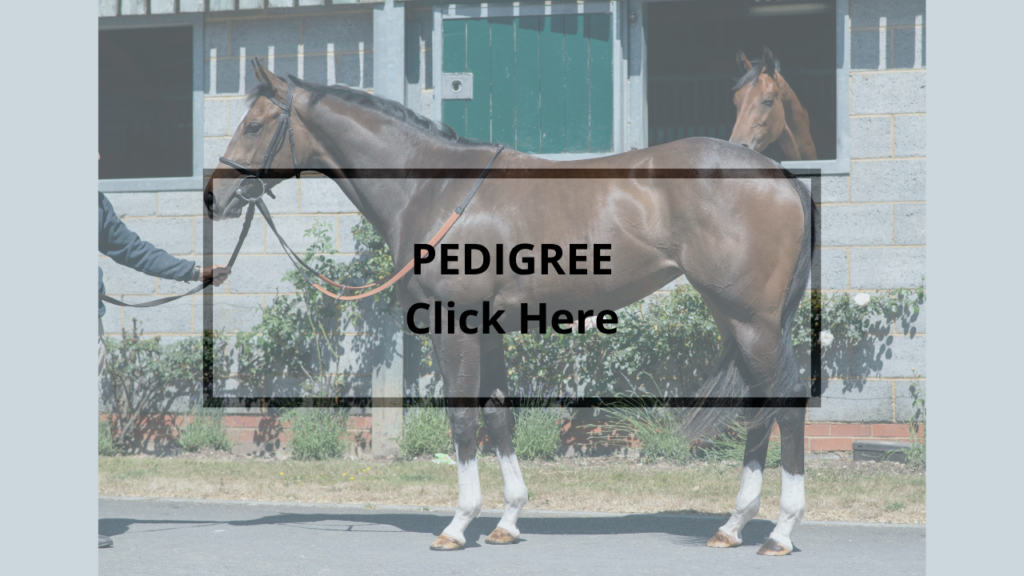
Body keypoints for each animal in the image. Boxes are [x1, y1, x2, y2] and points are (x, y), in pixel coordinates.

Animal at [205, 58, 815, 556]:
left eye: (254, 124)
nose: (216, 196)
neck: (436, 187)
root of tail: (781, 178)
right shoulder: (486, 327)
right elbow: (498, 414)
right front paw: (507, 520)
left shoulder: (453, 326)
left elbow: (462, 417)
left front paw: (458, 525)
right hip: (734, 318)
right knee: (758, 407)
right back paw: (733, 526)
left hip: (753, 321)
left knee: (785, 405)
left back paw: (781, 533)